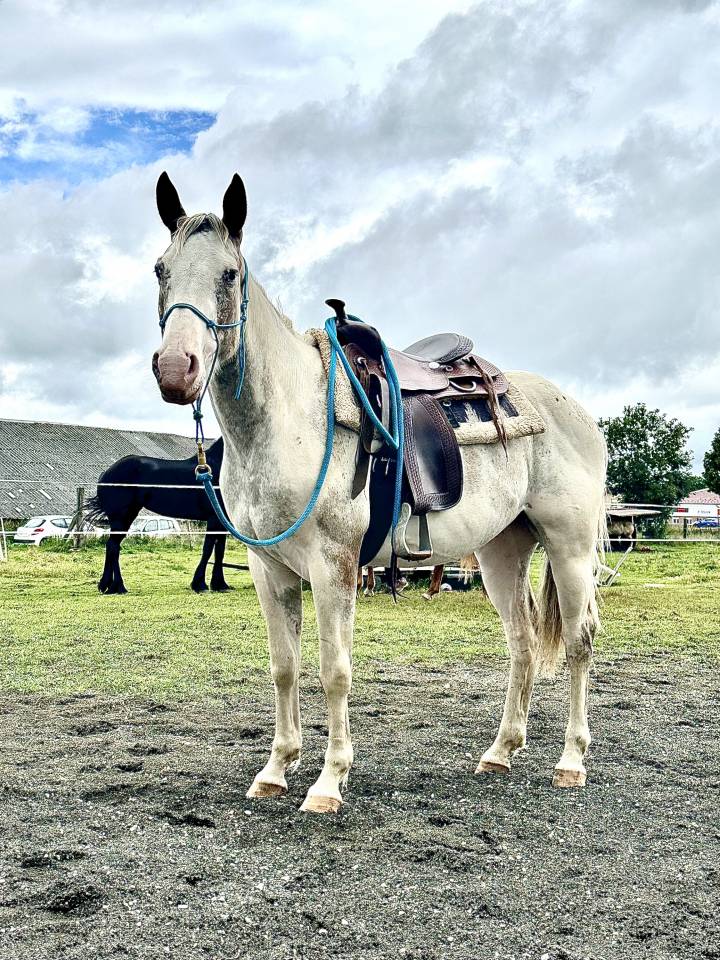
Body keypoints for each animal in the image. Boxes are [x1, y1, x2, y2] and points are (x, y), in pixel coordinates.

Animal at [85, 438, 232, 595]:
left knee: (112, 546)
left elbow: (220, 551)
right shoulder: (214, 519)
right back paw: (118, 586)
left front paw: (220, 584)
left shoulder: (222, 522)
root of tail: (105, 474)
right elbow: (208, 549)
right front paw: (200, 584)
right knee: (113, 547)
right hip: (122, 518)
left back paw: (106, 585)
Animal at [150, 172, 607, 814]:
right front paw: (276, 770)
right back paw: (500, 752)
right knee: (521, 642)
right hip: (502, 550)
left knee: (579, 642)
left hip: (569, 548)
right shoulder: (269, 568)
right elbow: (285, 667)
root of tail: (579, 413)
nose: (177, 368)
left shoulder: (333, 566)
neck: (289, 419)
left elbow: (334, 670)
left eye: (230, 274)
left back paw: (571, 760)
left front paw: (327, 781)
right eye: (161, 270)